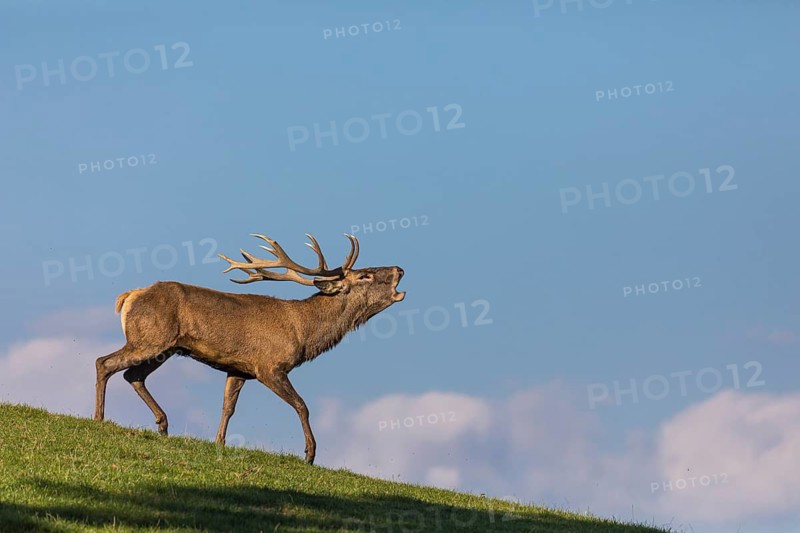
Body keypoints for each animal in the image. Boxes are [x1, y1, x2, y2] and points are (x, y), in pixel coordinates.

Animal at [93, 232, 404, 464]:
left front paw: (219, 443)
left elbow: (227, 407)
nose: (400, 268)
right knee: (104, 362)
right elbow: (302, 405)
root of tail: (128, 296)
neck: (303, 332)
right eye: (364, 276)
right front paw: (310, 454)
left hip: (162, 348)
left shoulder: (238, 369)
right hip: (149, 338)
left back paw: (163, 424)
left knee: (133, 375)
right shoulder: (269, 365)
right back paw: (99, 418)